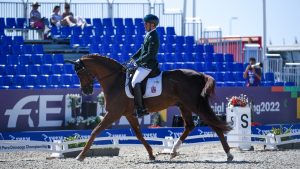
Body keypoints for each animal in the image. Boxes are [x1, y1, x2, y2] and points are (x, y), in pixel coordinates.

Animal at [66, 53, 234, 161]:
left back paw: (228, 154)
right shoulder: (129, 114)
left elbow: (95, 131)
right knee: (190, 126)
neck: (115, 80)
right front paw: (152, 155)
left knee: (214, 125)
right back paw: (173, 151)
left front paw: (80, 156)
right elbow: (138, 134)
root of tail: (200, 75)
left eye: (80, 73)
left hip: (195, 105)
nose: (86, 91)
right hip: (184, 105)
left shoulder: (113, 113)